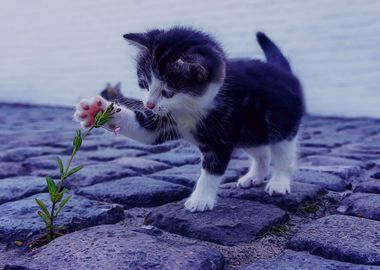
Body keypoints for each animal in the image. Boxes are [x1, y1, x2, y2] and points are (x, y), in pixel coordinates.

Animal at [75, 27, 306, 213]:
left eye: (168, 92)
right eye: (144, 84)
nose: (148, 104)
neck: (191, 108)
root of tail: (284, 72)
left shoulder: (222, 134)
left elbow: (212, 169)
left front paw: (200, 199)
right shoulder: (163, 121)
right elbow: (143, 130)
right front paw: (96, 110)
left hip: (282, 125)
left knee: (283, 154)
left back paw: (278, 182)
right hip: (250, 131)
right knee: (261, 152)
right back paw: (254, 176)